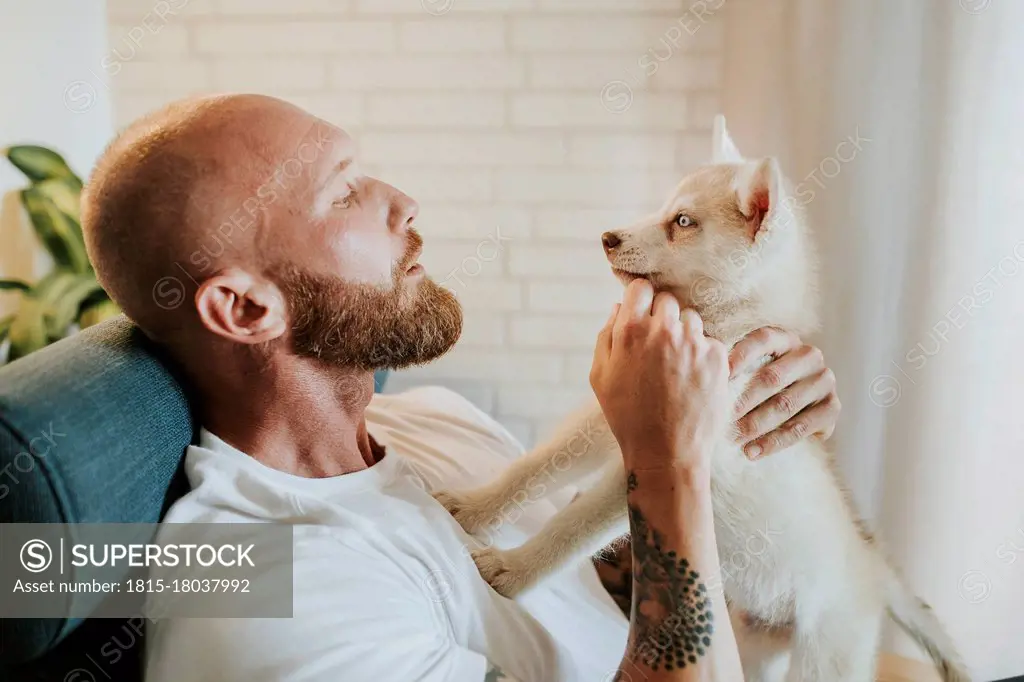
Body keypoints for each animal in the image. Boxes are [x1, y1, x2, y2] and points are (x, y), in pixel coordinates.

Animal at [436, 118, 970, 679]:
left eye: (683, 221)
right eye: (666, 208)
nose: (607, 237)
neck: (719, 326)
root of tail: (873, 569)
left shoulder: (654, 458)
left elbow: (571, 528)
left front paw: (511, 571)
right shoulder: (604, 420)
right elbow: (532, 469)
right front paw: (474, 510)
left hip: (825, 656)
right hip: (756, 642)